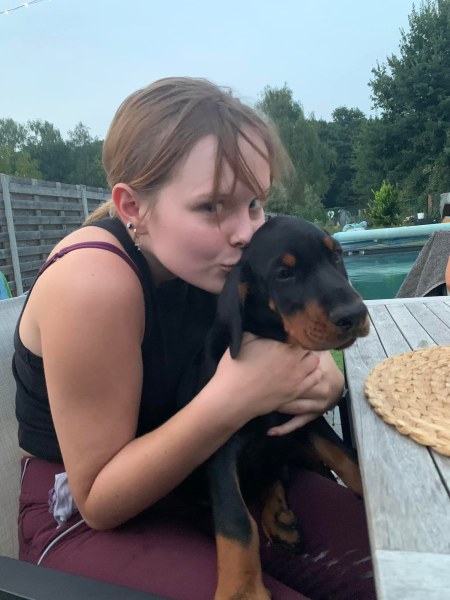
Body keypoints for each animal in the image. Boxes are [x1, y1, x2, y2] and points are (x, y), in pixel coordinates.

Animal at [178, 216, 370, 600]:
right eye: (284, 274)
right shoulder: (218, 447)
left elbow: (346, 458)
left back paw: (280, 519)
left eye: (337, 256)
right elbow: (236, 520)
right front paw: (241, 590)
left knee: (276, 474)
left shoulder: (306, 420)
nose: (355, 314)